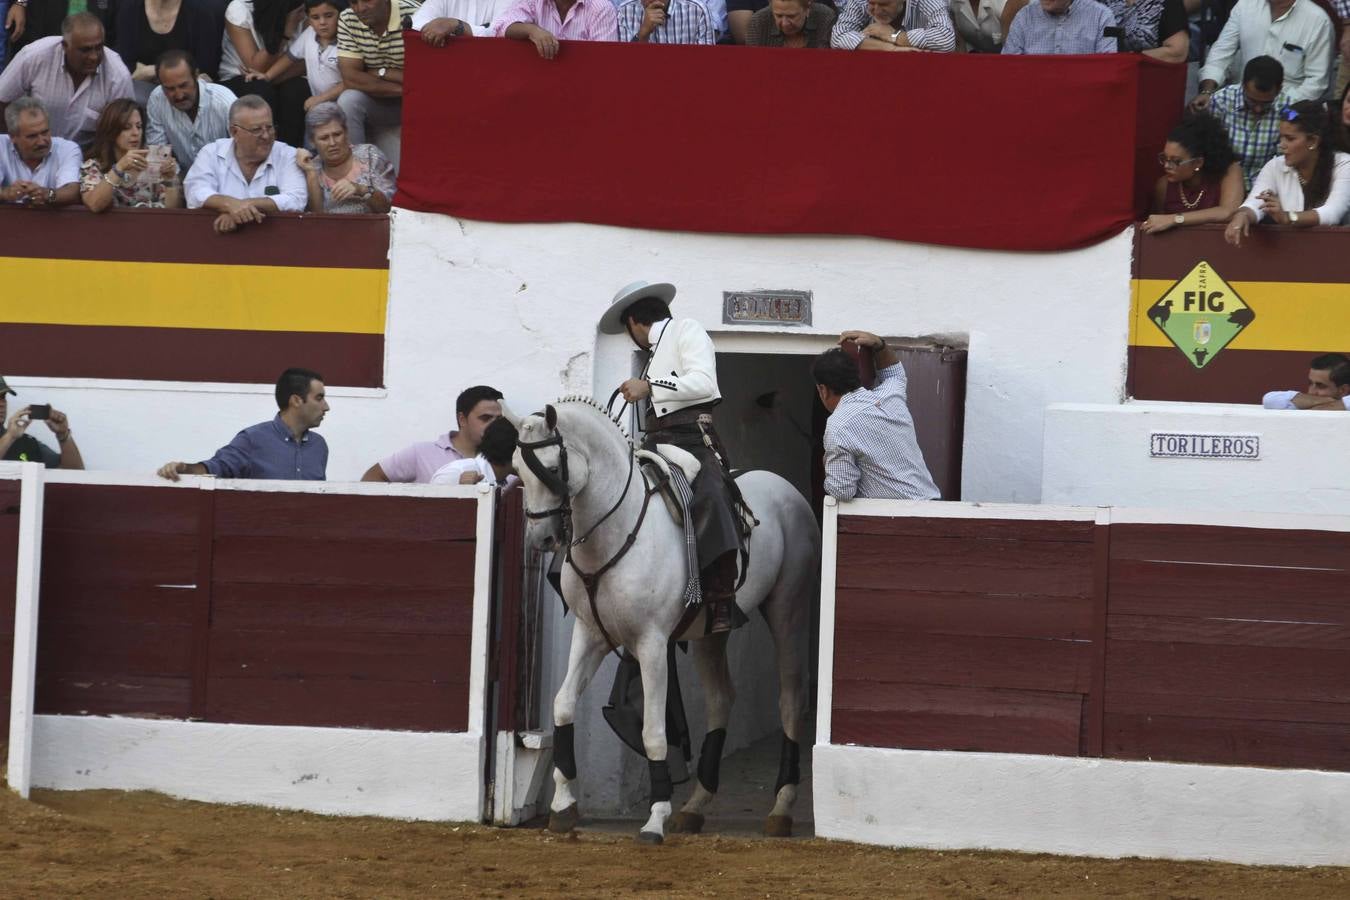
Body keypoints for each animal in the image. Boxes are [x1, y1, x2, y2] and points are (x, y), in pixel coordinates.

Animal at [510, 402, 815, 847]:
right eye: (517, 468)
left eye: (551, 467)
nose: (540, 540)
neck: (615, 530)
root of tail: (784, 488)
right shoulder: (590, 634)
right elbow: (563, 704)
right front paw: (563, 806)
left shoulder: (651, 644)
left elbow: (653, 731)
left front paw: (654, 818)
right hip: (710, 635)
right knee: (721, 698)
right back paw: (695, 806)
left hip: (788, 610)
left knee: (790, 698)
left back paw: (780, 809)